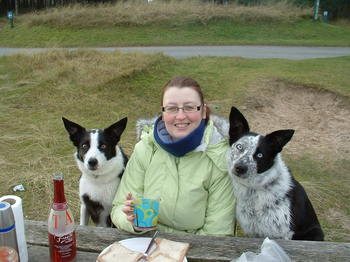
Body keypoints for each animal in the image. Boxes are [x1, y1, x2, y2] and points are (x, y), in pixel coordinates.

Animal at [227, 107, 322, 242]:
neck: (255, 189)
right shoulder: (253, 231)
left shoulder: (283, 234)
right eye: (239, 147)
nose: (240, 168)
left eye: (260, 155)